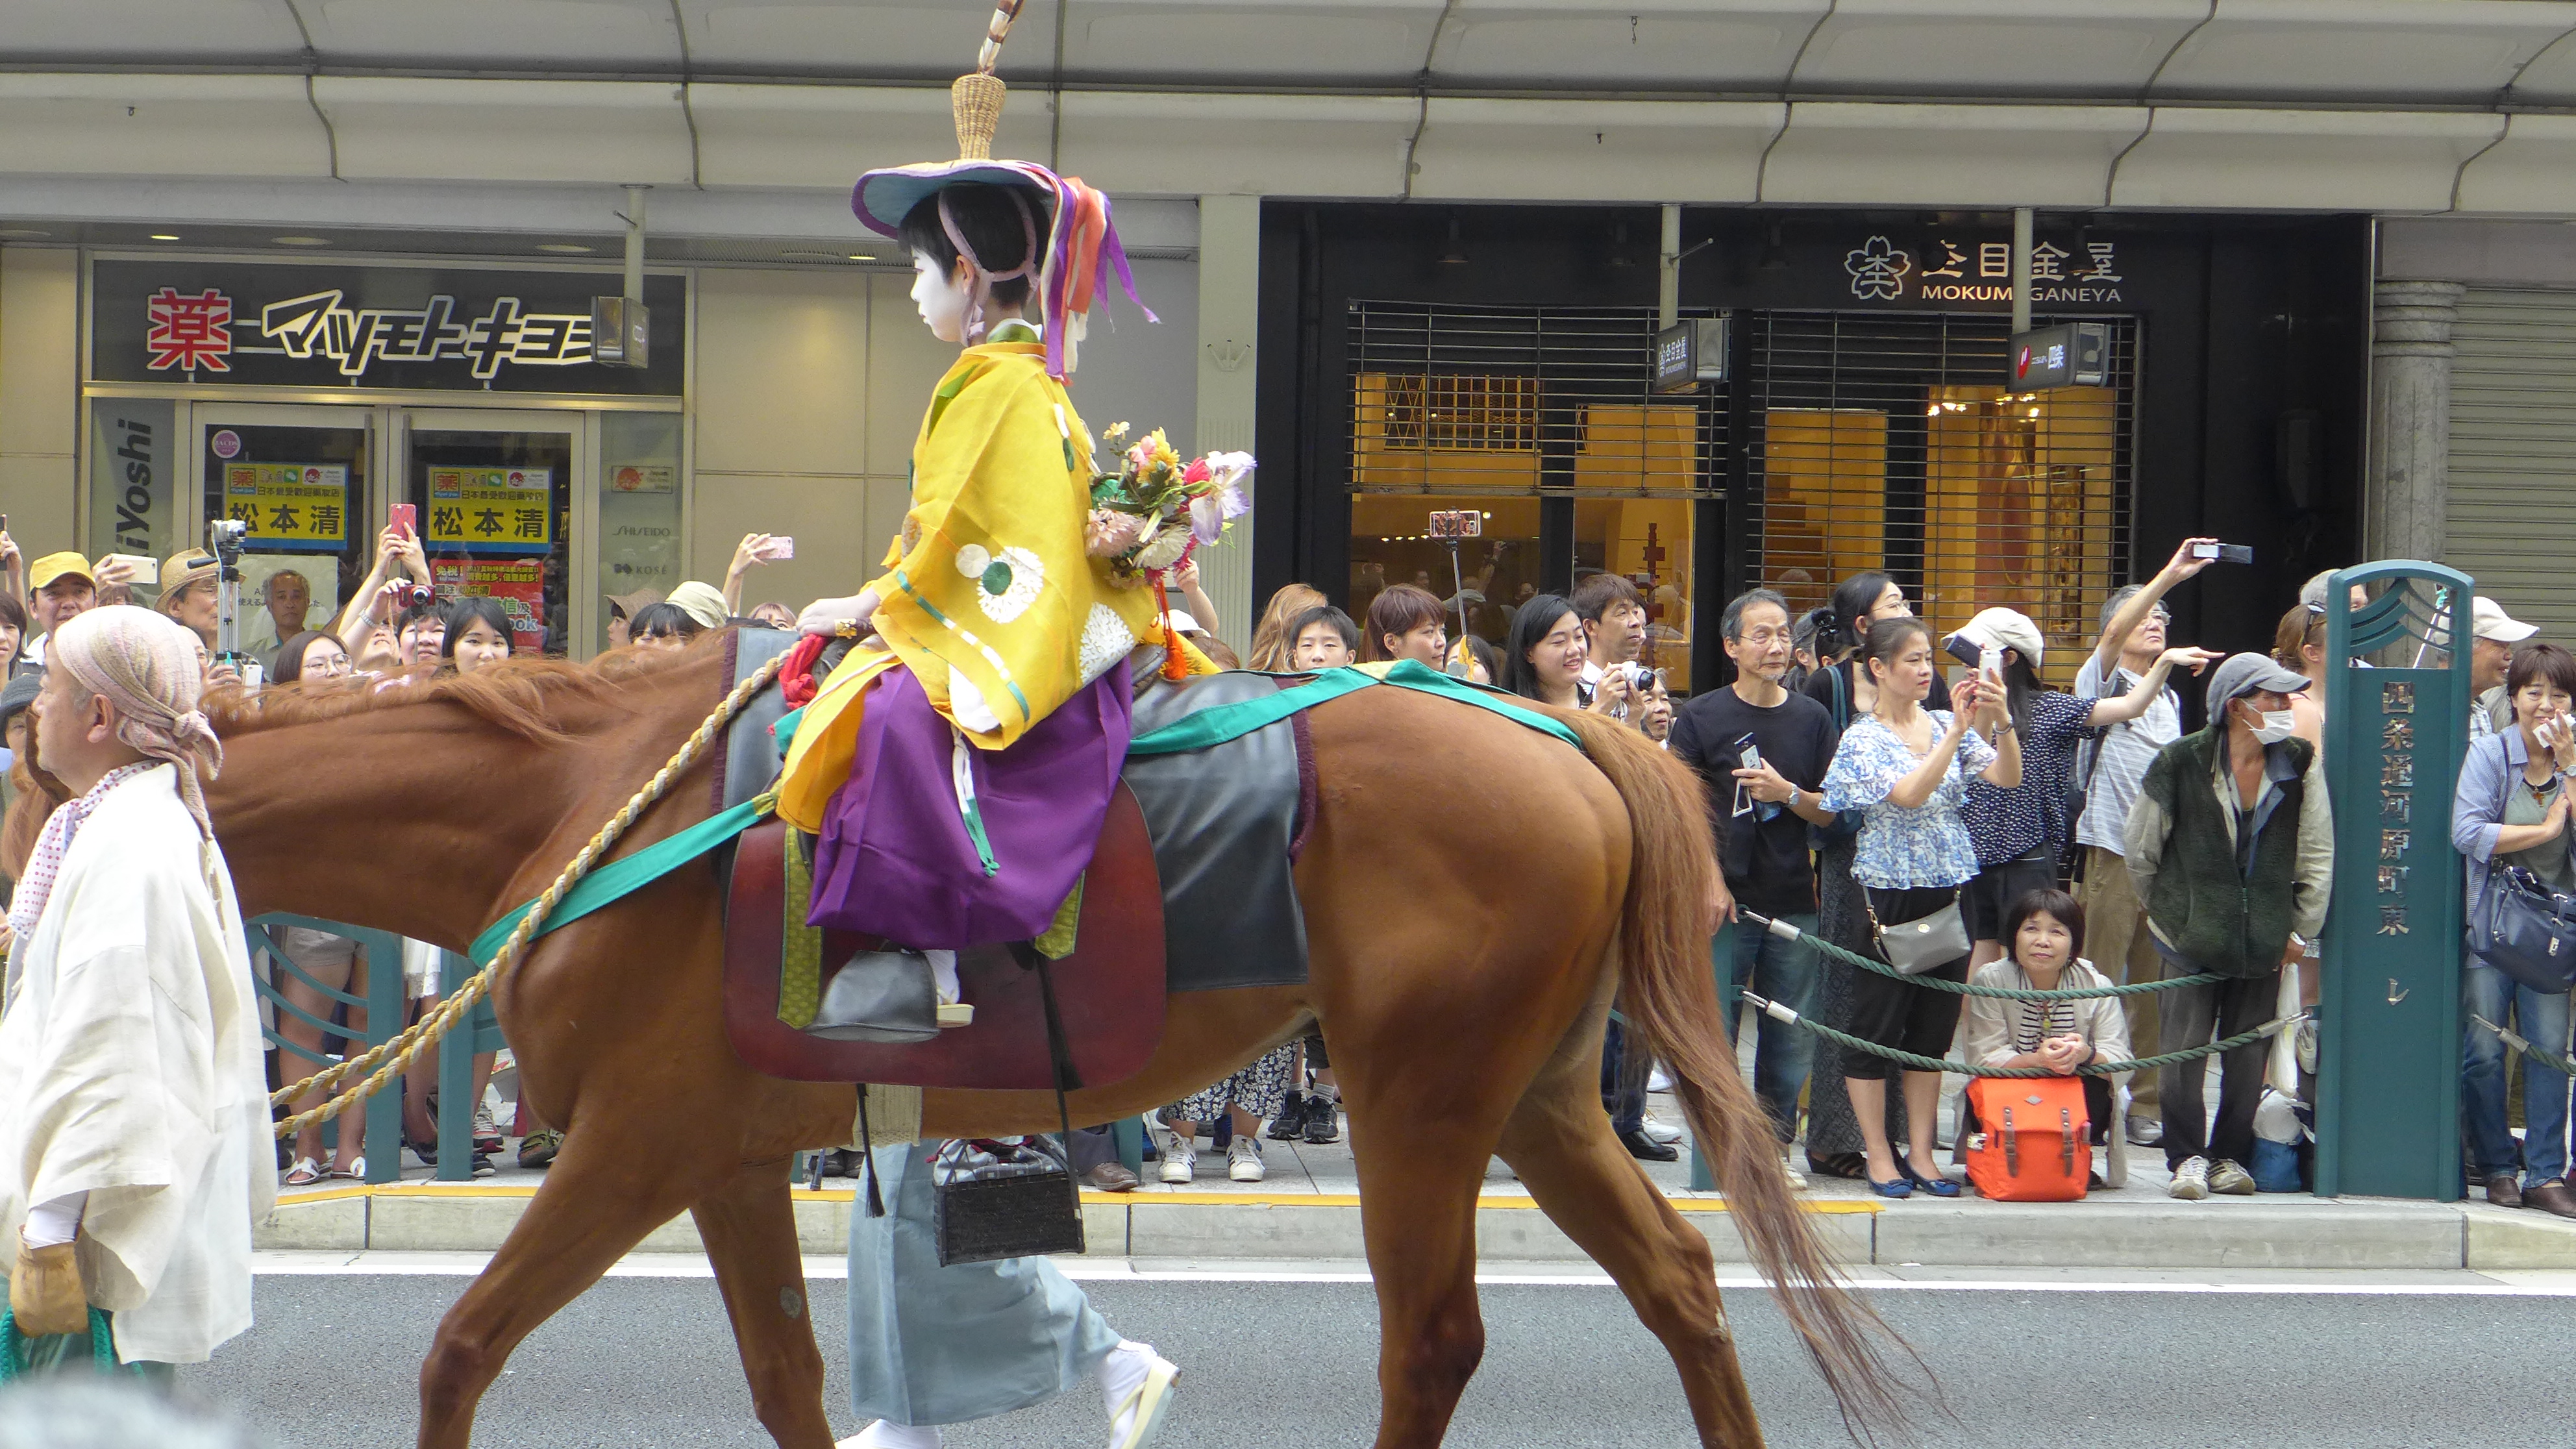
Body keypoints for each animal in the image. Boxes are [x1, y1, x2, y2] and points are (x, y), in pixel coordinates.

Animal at [201, 641, 1906, 1444]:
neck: (598, 805)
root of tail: (1565, 728)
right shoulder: (725, 1155)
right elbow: (785, 1379)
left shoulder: (634, 1141)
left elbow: (460, 1346)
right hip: (1539, 1093)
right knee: (1679, 1285)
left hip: (1421, 1094)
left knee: (1431, 1338)